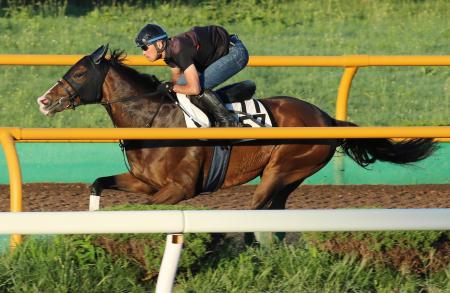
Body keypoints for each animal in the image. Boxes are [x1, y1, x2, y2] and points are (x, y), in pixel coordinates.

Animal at [37, 45, 438, 210]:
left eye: (79, 73)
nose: (44, 100)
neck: (154, 120)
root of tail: (327, 118)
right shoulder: (144, 181)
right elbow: (98, 184)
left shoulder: (180, 189)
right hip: (289, 179)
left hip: (282, 168)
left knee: (256, 206)